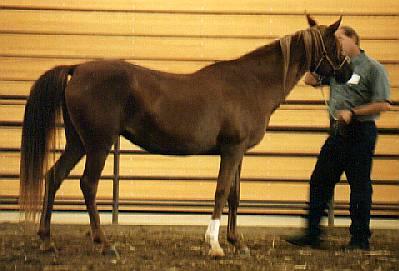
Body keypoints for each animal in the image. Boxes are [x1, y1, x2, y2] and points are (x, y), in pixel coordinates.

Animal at [20, 15, 352, 258]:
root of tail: (77, 69)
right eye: (336, 46)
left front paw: (237, 242)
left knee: (54, 177)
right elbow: (220, 192)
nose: (348, 74)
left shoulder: (239, 152)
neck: (251, 84)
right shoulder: (231, 151)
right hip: (98, 145)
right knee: (88, 185)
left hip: (78, 143)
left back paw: (46, 240)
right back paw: (103, 243)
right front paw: (215, 245)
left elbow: (234, 195)